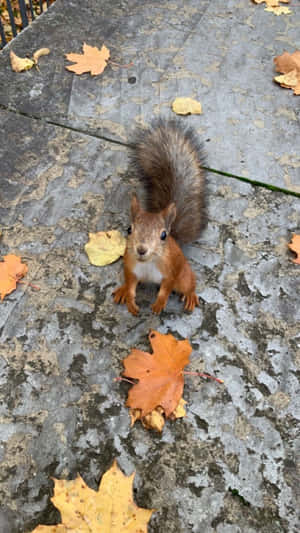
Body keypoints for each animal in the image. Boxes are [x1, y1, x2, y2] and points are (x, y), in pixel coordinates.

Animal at [113, 117, 206, 316]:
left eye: (163, 235)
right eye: (129, 229)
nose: (141, 249)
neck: (148, 263)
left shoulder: (170, 273)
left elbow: (166, 289)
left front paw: (158, 304)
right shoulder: (130, 268)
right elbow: (131, 284)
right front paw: (130, 300)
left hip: (183, 274)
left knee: (189, 283)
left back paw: (191, 296)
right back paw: (122, 290)